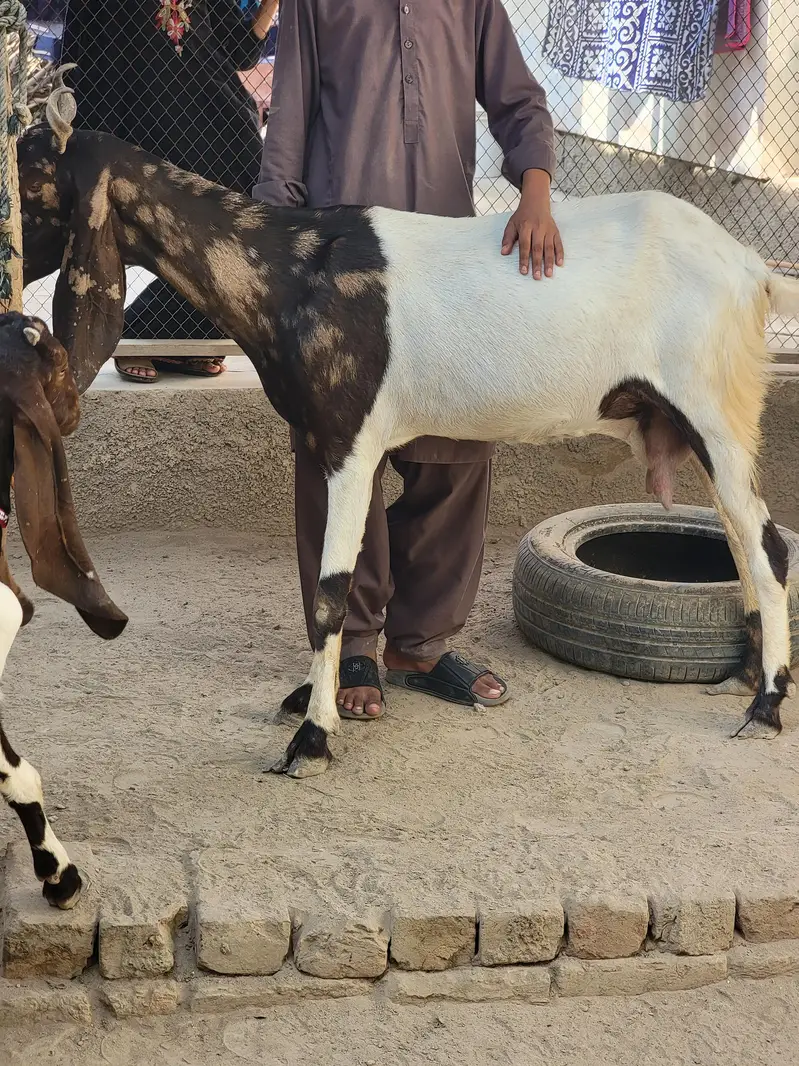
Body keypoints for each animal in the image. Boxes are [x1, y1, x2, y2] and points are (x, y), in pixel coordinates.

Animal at [19, 87, 798, 779]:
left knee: (767, 548)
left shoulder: (352, 442)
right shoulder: (316, 442)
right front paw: (317, 698)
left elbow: (330, 589)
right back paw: (744, 675)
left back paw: (765, 705)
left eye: (29, 178)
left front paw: (313, 738)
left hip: (716, 408)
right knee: (738, 538)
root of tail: (753, 270)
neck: (290, 269)